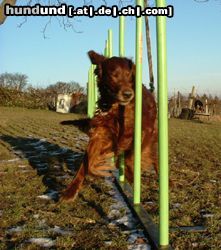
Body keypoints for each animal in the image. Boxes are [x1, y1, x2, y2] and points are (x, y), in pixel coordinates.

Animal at [61, 51, 157, 201]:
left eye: (129, 75)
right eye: (114, 75)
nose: (128, 94)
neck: (116, 108)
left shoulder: (145, 131)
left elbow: (129, 157)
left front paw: (130, 174)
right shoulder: (102, 134)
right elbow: (86, 162)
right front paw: (70, 191)